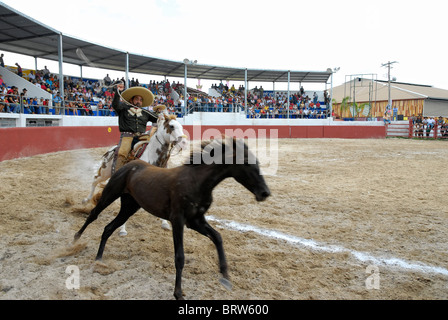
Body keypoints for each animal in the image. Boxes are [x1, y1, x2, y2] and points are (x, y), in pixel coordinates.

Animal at [73, 136, 270, 300]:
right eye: (247, 163)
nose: (265, 193)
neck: (197, 182)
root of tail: (128, 164)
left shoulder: (195, 221)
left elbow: (218, 237)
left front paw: (226, 279)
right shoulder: (178, 220)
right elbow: (180, 257)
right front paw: (178, 293)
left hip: (129, 206)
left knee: (109, 227)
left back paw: (99, 260)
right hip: (111, 193)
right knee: (94, 214)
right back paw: (75, 240)